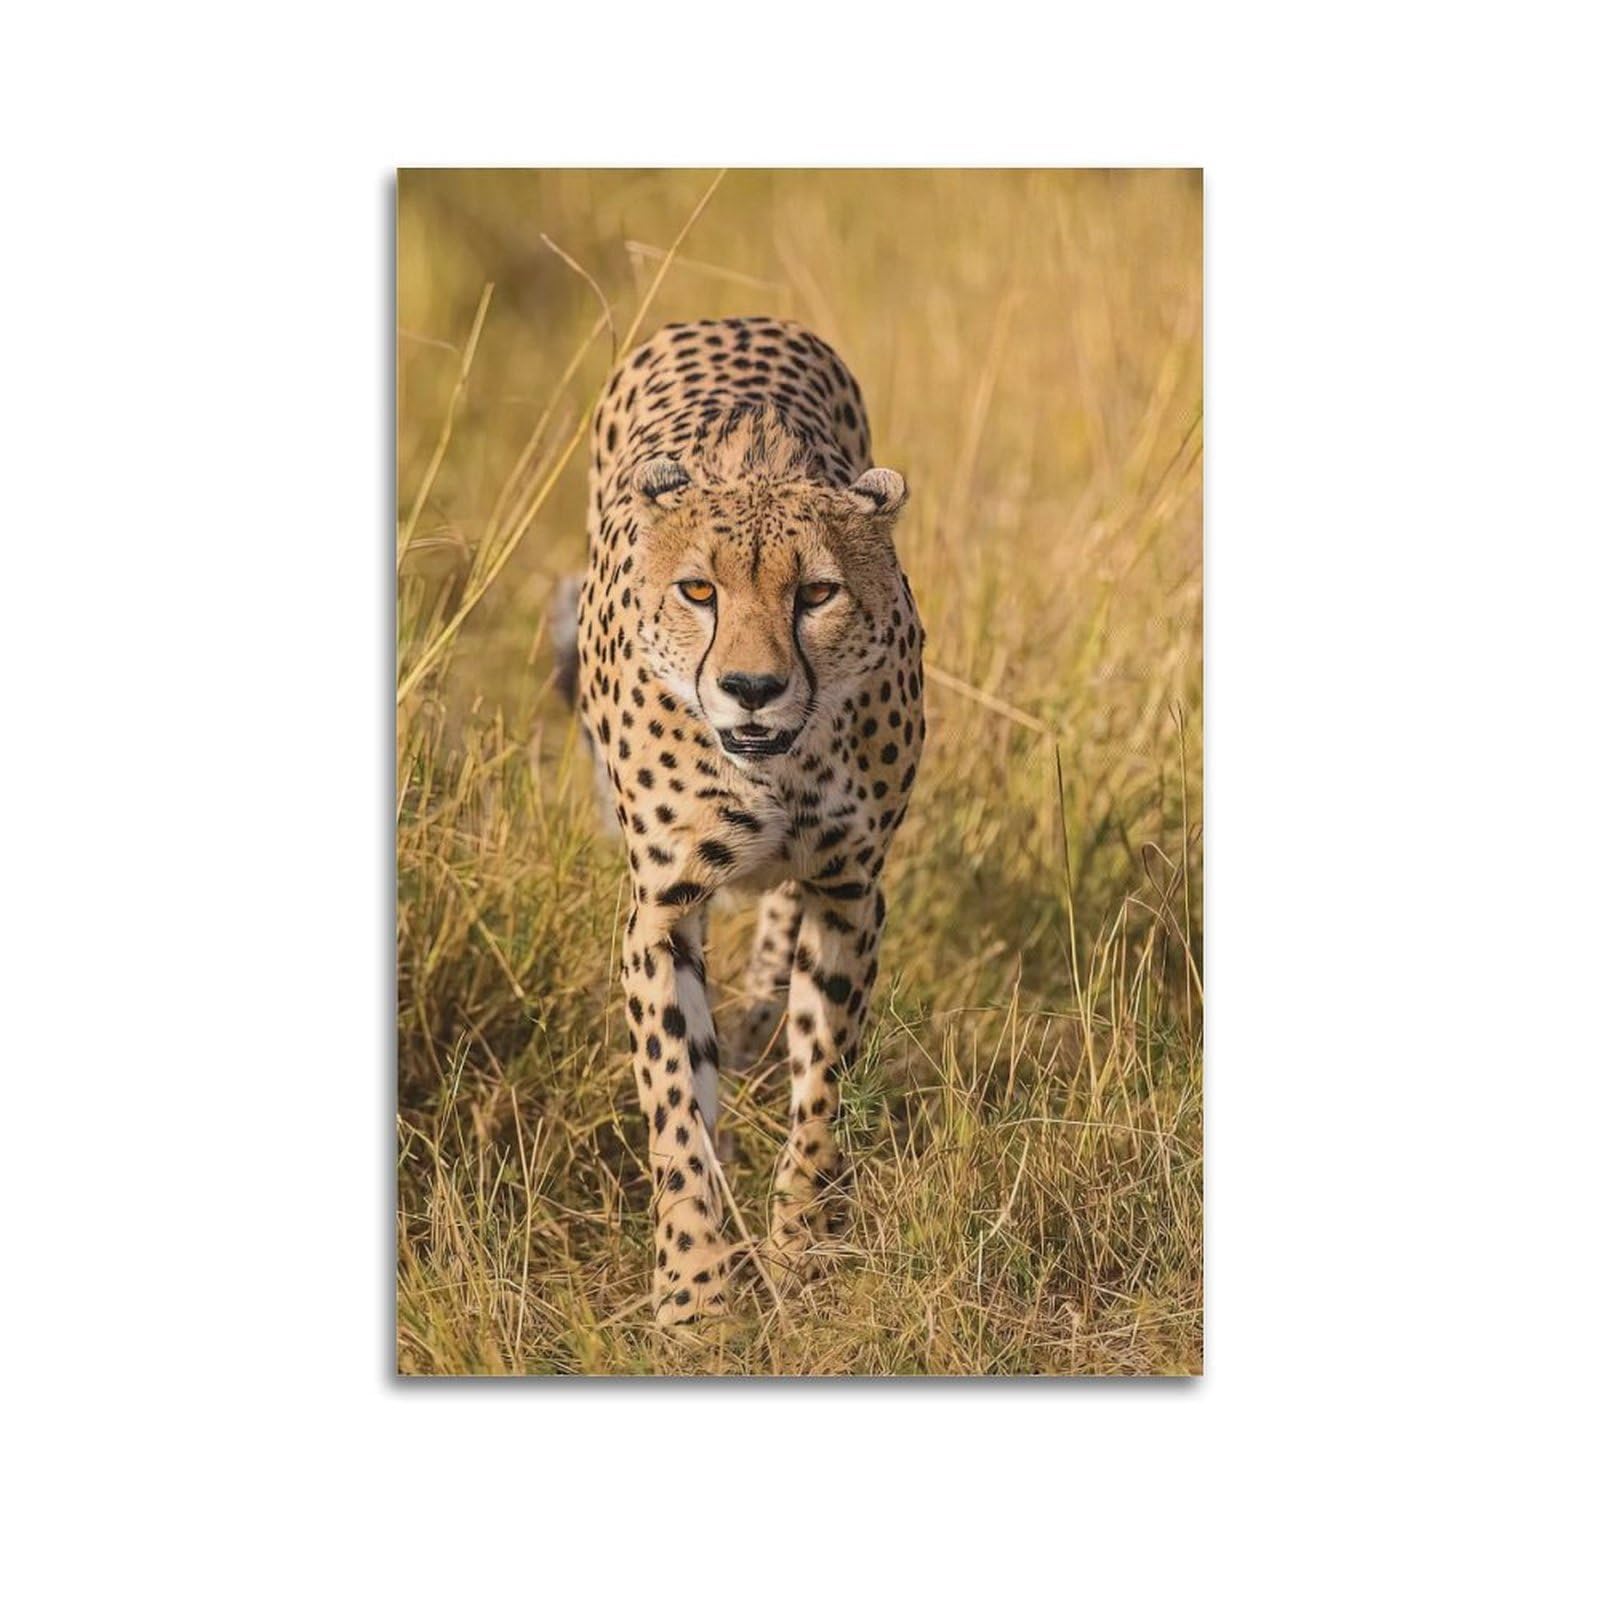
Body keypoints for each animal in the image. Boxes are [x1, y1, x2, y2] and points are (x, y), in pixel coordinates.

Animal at [557, 316, 925, 1326]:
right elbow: (677, 1102)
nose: (752, 687)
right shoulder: (663, 905)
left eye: (817, 593)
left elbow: (824, 1082)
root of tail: (733, 319)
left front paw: (803, 1247)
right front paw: (696, 1292)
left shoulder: (849, 888)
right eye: (698, 592)